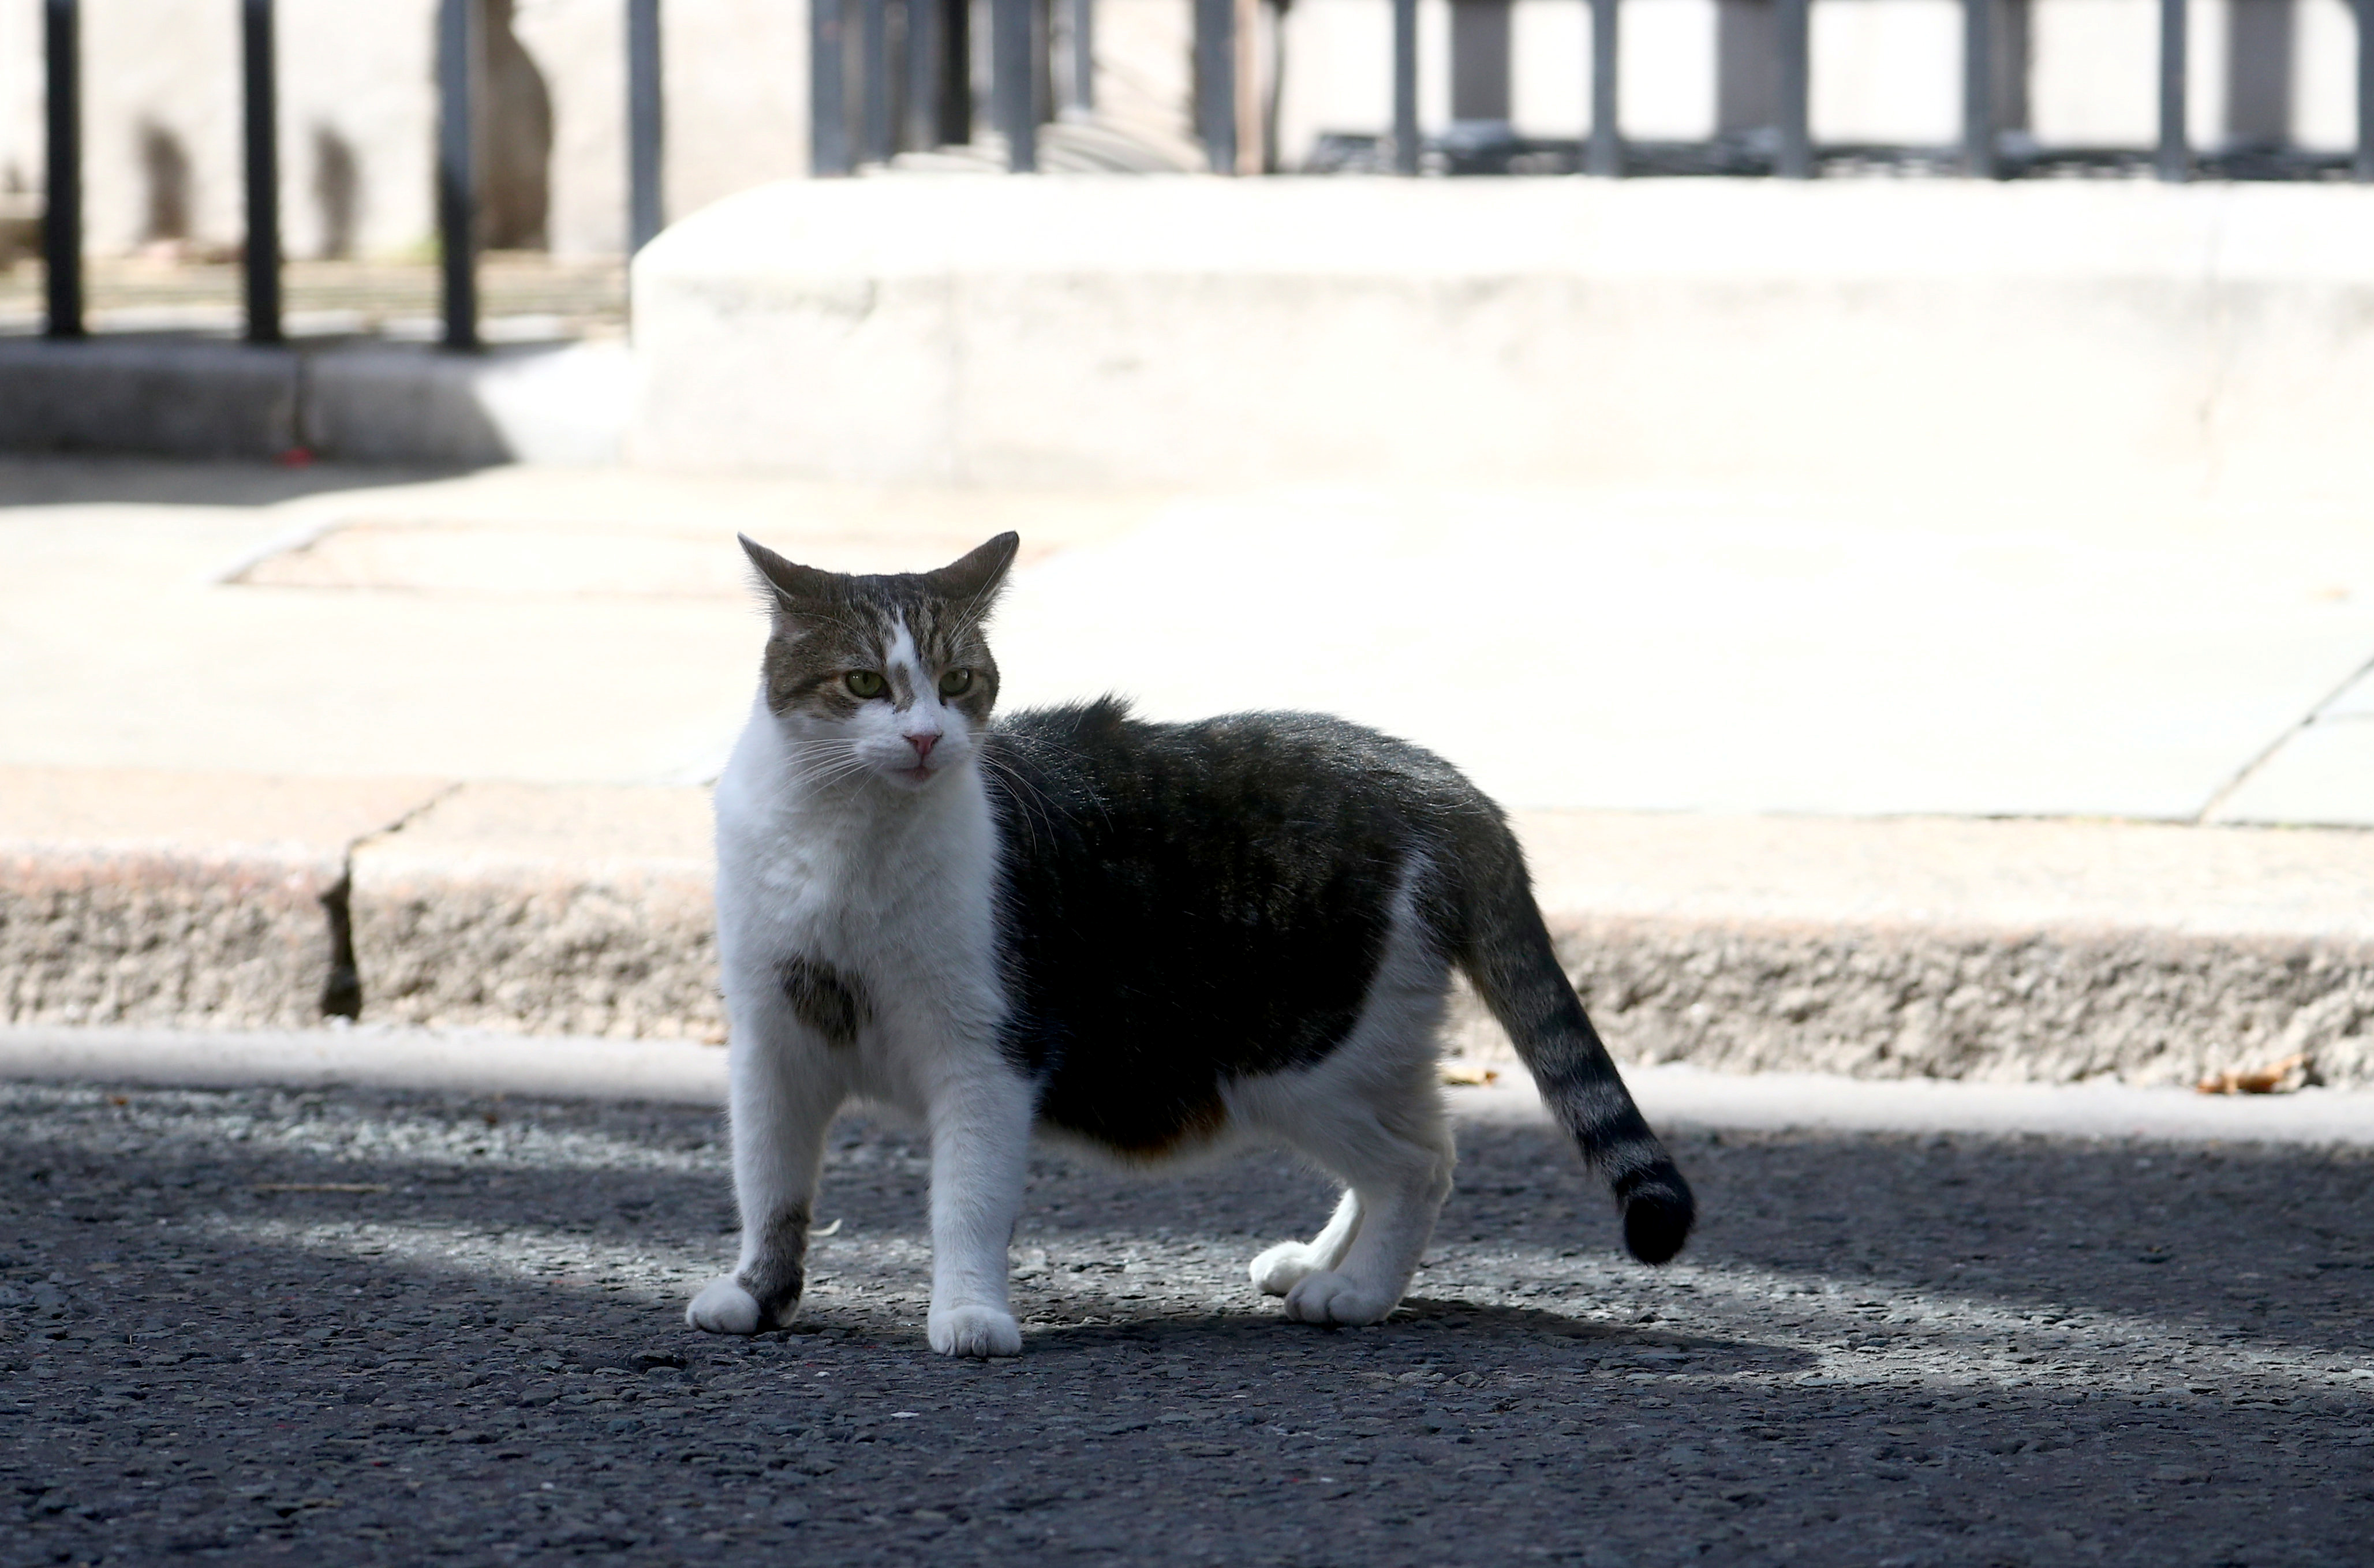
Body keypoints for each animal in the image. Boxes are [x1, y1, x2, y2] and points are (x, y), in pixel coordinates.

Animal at [683, 531, 1690, 1347]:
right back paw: (1321, 1264)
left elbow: (964, 1202)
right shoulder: (773, 1045)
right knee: (1426, 1144)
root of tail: (1441, 785)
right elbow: (769, 1186)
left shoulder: (985, 1053)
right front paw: (757, 1296)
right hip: (1363, 1049)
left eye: (958, 681)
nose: (930, 737)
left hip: (1297, 1060)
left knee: (1415, 1168)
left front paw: (969, 1315)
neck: (844, 842)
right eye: (864, 682)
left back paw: (1356, 1294)